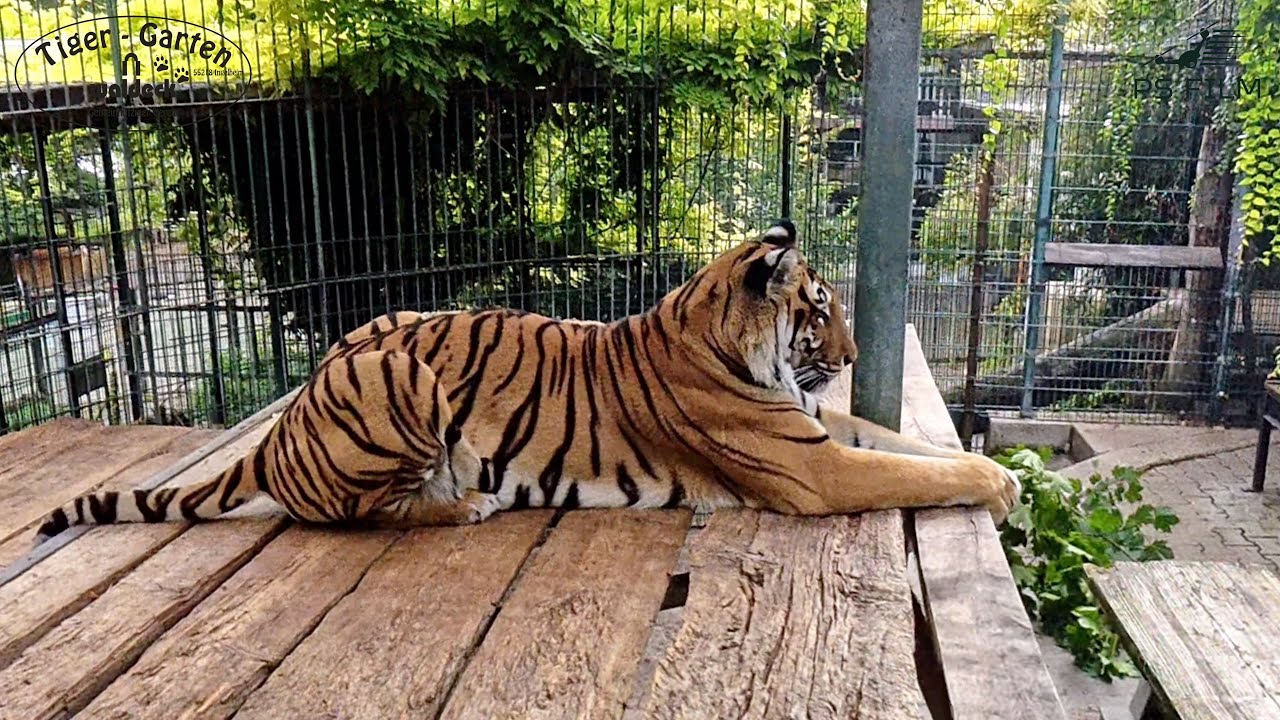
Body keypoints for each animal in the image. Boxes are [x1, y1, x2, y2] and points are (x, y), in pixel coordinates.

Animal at [35, 220, 1018, 543]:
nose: (848, 360)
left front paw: (990, 464)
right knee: (361, 516)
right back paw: (467, 504)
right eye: (820, 310)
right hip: (397, 373)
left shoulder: (815, 427)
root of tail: (282, 425)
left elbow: (904, 444)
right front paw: (998, 482)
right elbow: (907, 472)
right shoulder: (815, 466)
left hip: (386, 330)